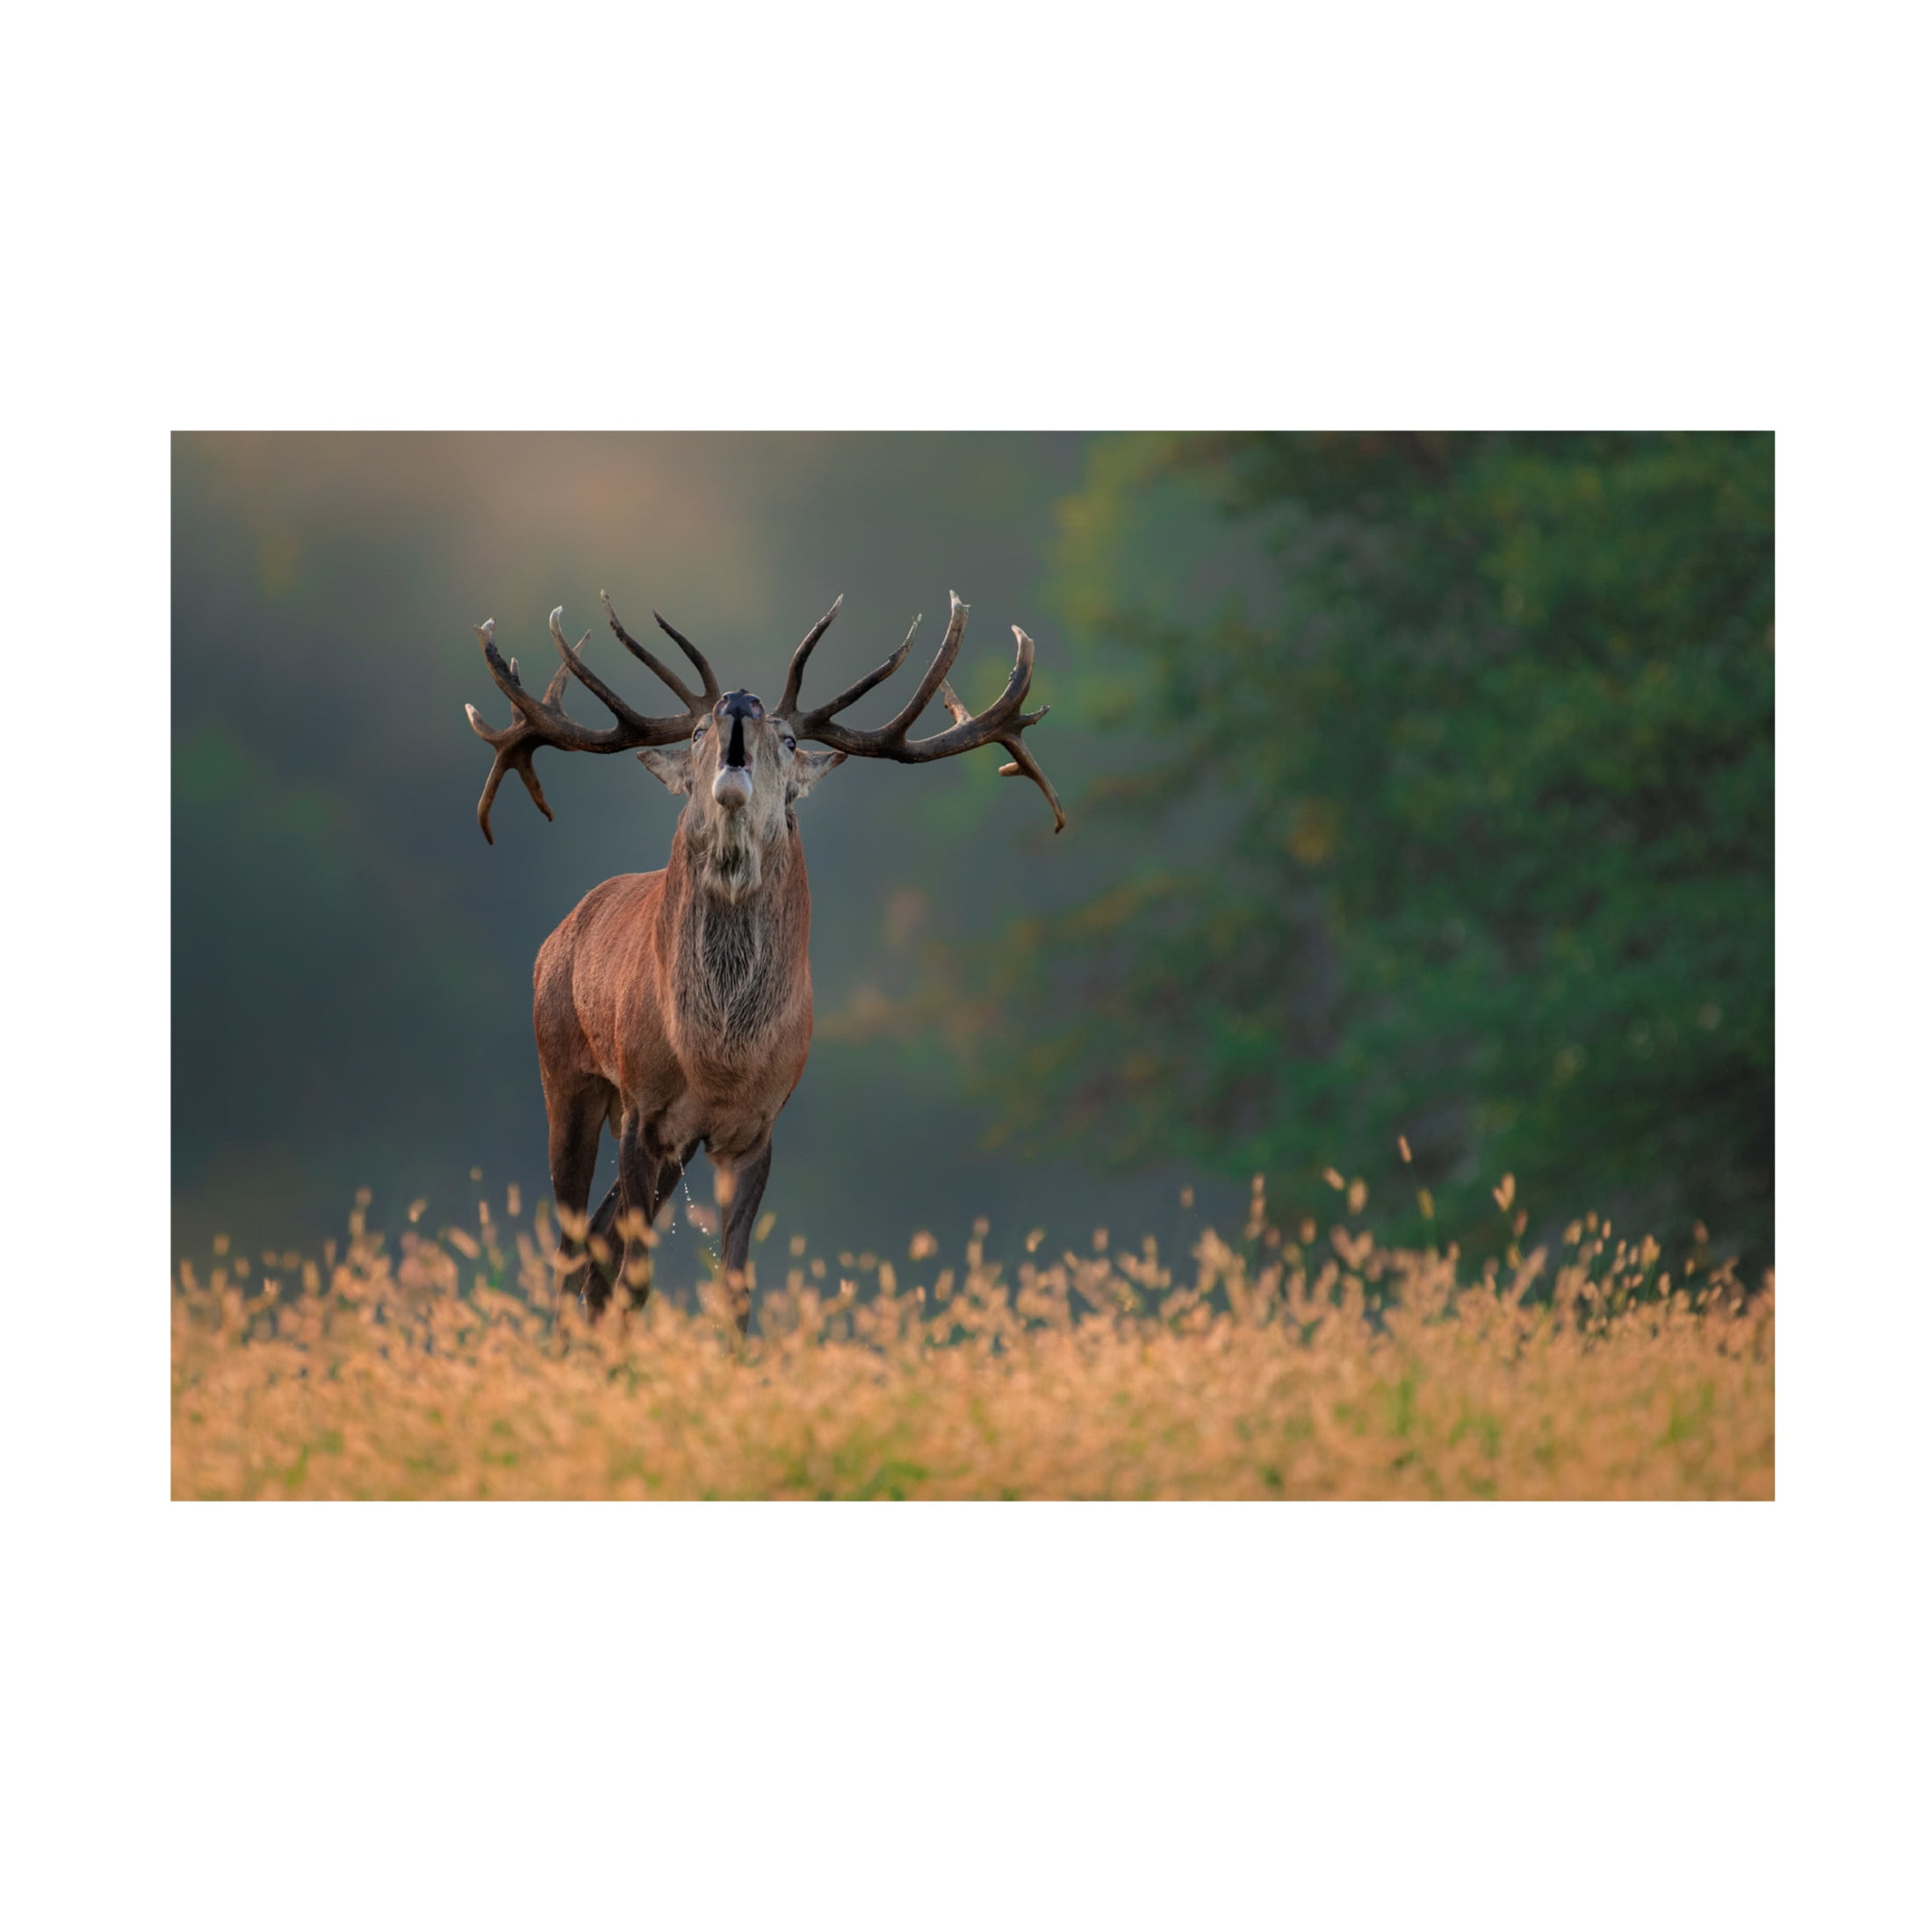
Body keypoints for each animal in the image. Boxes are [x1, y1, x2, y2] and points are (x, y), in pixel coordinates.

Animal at [464, 589, 1062, 1331]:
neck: (720, 1057)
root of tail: (560, 934)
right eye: (695, 732)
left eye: (792, 740)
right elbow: (638, 1279)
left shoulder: (757, 1125)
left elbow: (736, 1289)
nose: (740, 701)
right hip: (565, 1071)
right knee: (575, 1249)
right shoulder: (643, 1107)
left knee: (598, 1246)